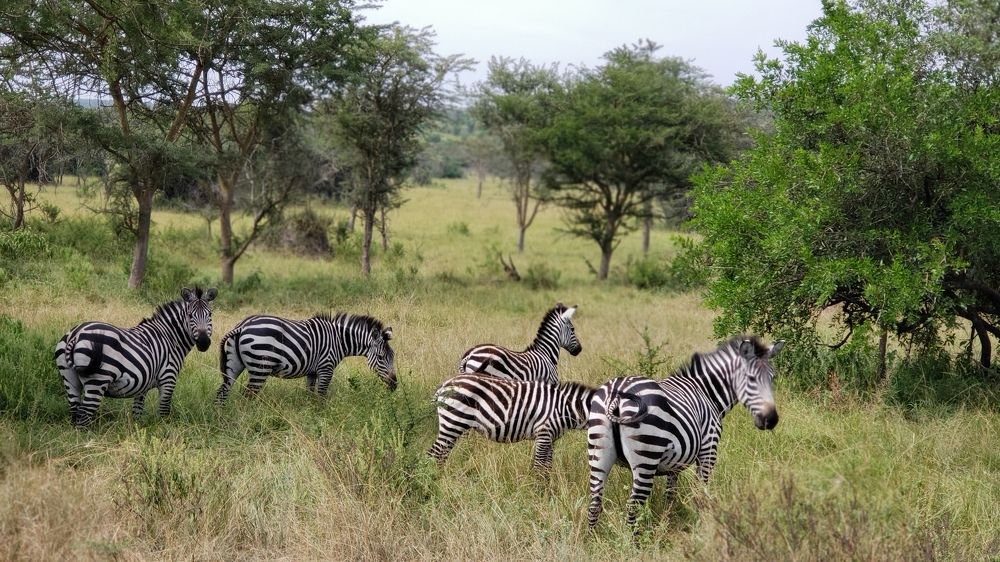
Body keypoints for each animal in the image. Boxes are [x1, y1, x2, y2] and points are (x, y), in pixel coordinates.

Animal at [54, 286, 218, 428]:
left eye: (210, 315)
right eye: (190, 316)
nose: (204, 343)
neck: (170, 337)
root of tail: (75, 334)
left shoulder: (142, 385)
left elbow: (137, 412)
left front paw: (137, 432)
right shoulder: (168, 378)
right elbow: (164, 412)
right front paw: (164, 431)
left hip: (69, 378)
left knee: (74, 412)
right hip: (97, 380)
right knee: (84, 416)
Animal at [216, 312, 396, 403]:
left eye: (393, 356)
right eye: (381, 357)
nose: (394, 385)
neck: (339, 339)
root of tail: (242, 326)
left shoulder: (312, 371)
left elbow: (310, 394)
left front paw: (310, 414)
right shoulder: (326, 368)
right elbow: (321, 396)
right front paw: (322, 417)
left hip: (234, 364)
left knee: (222, 392)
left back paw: (222, 418)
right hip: (260, 367)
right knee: (247, 395)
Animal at [427, 373, 595, 470]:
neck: (563, 407)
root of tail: (445, 384)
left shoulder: (550, 438)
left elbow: (547, 466)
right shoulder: (544, 433)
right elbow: (539, 466)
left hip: (454, 426)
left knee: (441, 455)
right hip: (453, 422)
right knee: (434, 454)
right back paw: (434, 485)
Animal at [585, 336, 785, 531]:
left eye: (772, 378)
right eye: (751, 379)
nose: (771, 420)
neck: (706, 392)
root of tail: (617, 394)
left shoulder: (674, 463)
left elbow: (670, 496)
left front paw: (667, 524)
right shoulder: (708, 450)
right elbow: (700, 493)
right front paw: (703, 525)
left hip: (598, 453)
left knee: (594, 503)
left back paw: (593, 538)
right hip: (646, 456)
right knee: (633, 505)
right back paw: (632, 541)